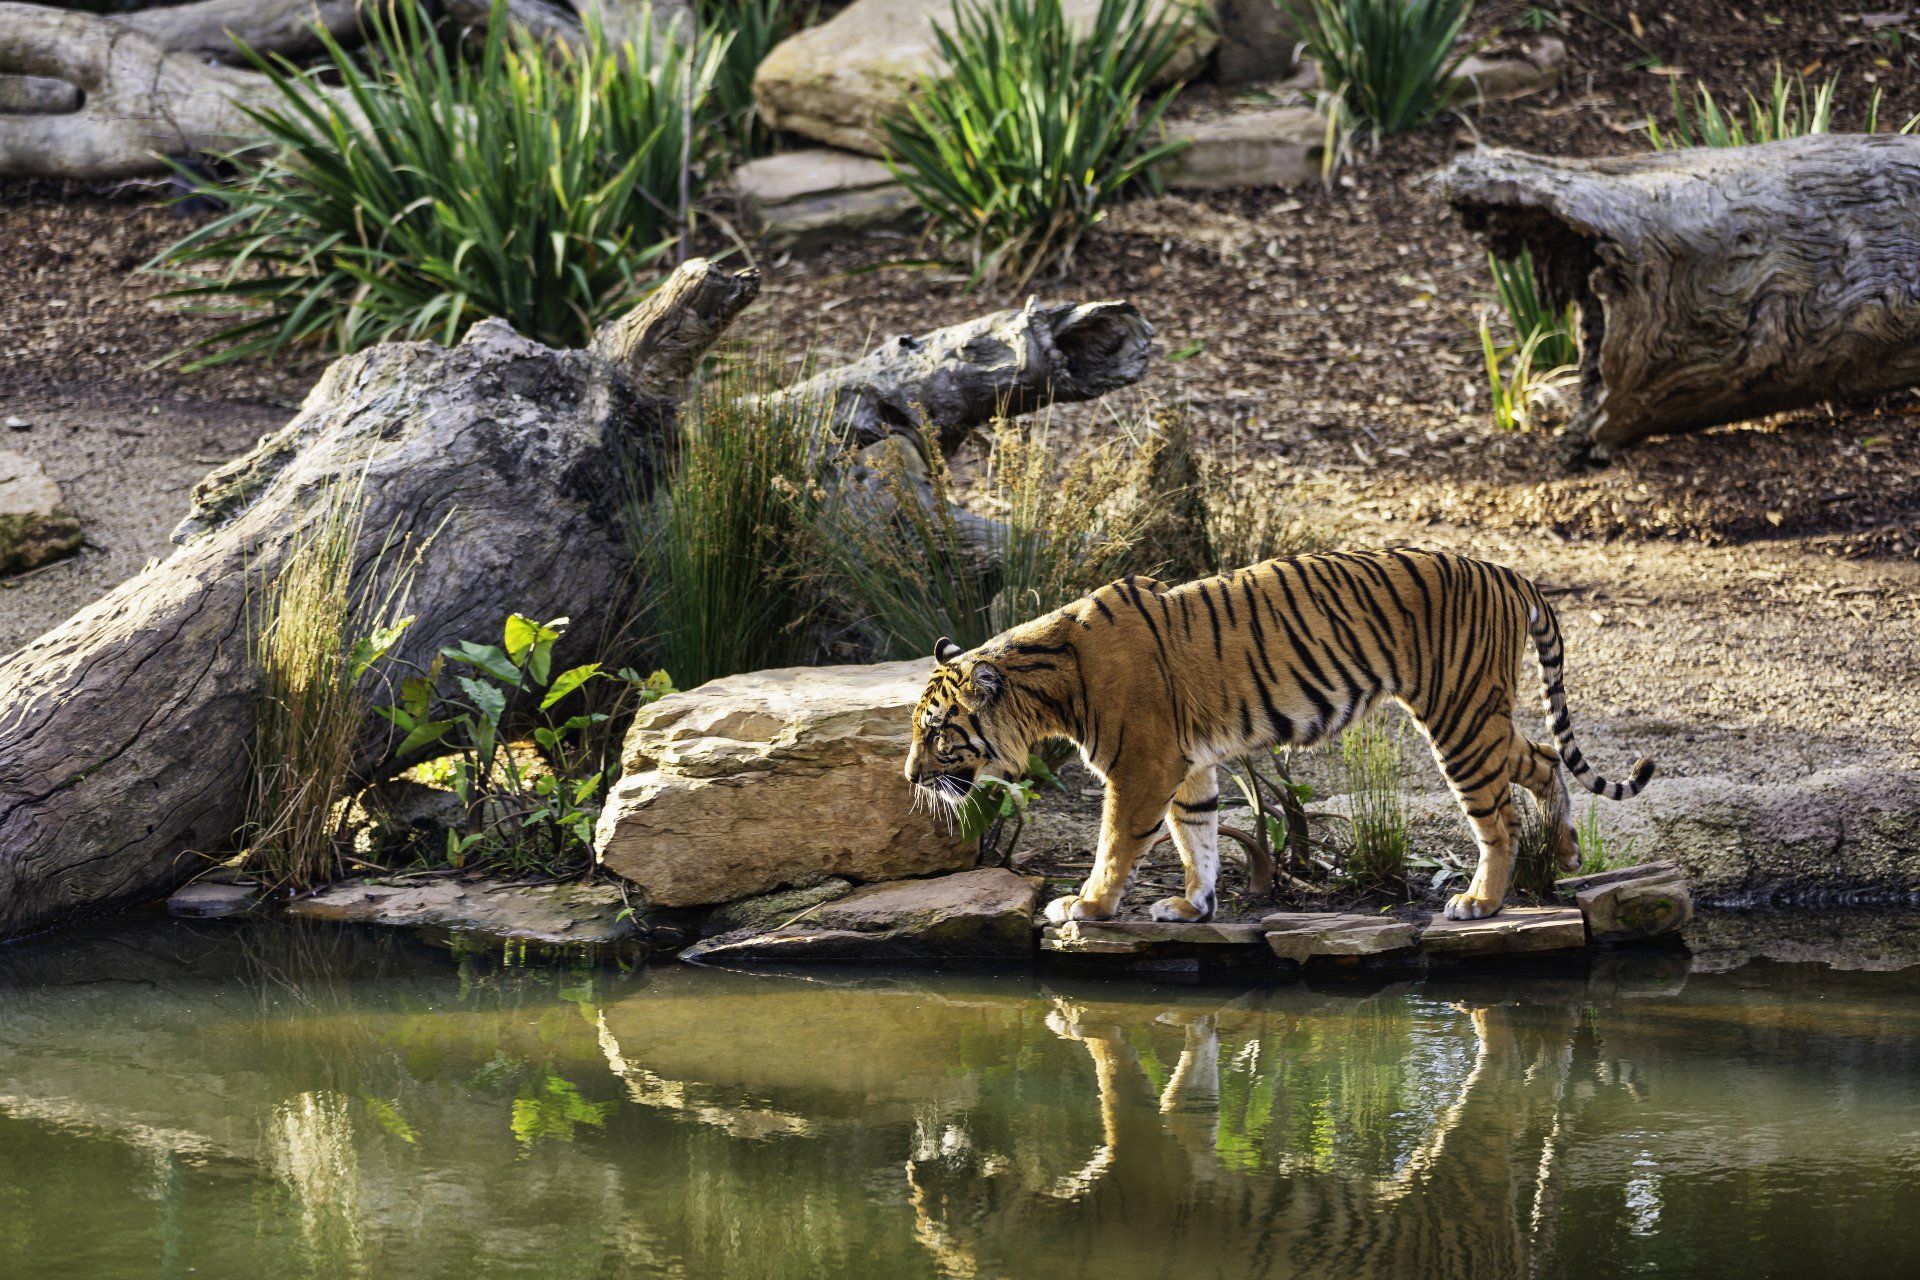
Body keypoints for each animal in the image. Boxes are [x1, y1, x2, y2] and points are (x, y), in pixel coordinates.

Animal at [903, 548, 1654, 924]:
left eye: (938, 733)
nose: (909, 777)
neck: (1049, 682)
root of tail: (1505, 570)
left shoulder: (1141, 768)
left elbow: (1115, 845)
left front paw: (1086, 905)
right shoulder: (1187, 767)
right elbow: (1198, 838)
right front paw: (1192, 904)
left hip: (1459, 716)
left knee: (1497, 818)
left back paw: (1481, 900)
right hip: (1481, 715)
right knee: (1546, 757)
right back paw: (1564, 850)